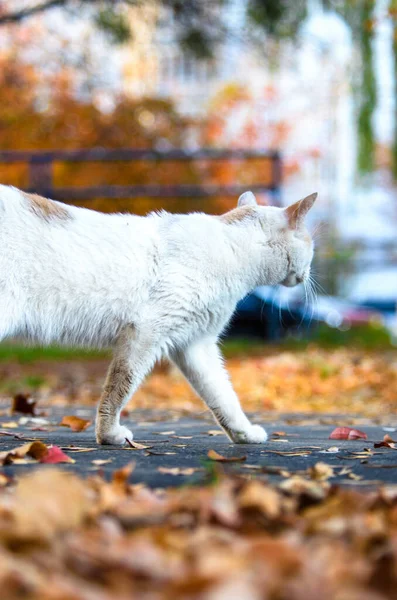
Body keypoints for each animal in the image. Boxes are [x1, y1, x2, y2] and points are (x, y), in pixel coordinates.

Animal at [0, 188, 316, 446]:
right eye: (312, 246)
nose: (309, 274)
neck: (232, 250)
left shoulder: (196, 345)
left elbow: (223, 397)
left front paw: (244, 434)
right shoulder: (145, 333)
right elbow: (119, 388)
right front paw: (109, 435)